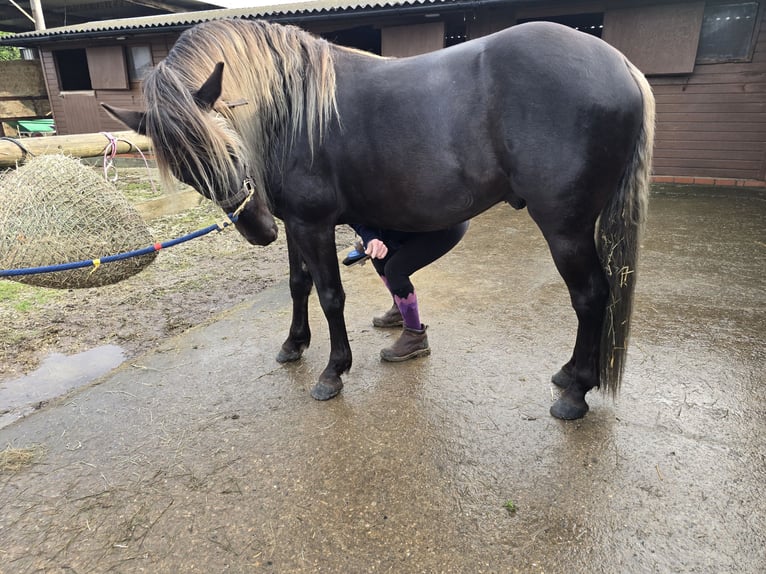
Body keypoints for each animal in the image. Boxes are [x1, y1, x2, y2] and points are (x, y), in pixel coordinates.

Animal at [104, 18, 655, 420]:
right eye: (188, 172)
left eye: (229, 149)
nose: (258, 230)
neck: (291, 111)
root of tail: (623, 66)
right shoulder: (295, 224)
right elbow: (298, 284)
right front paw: (293, 344)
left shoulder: (313, 224)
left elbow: (330, 296)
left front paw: (333, 371)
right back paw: (568, 374)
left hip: (566, 228)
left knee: (590, 297)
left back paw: (576, 393)